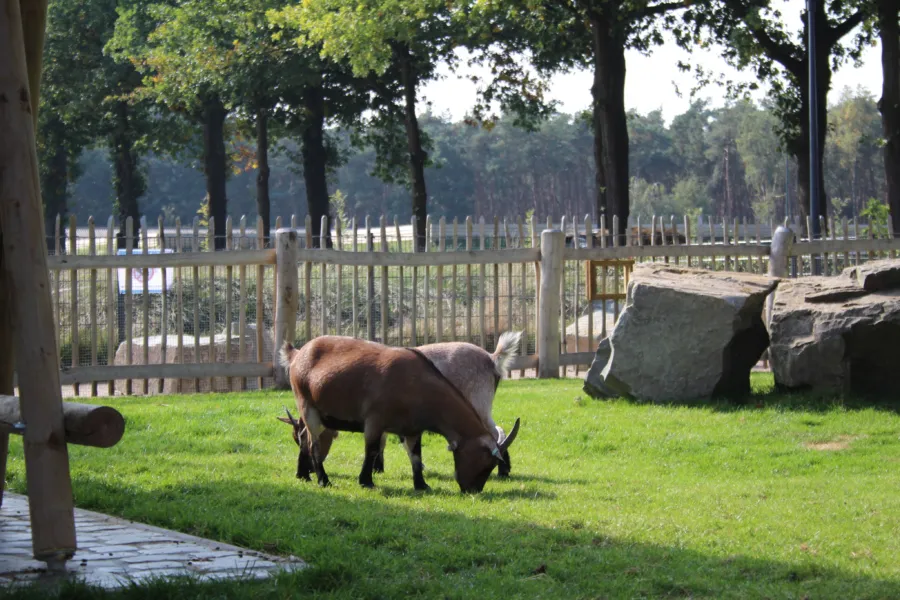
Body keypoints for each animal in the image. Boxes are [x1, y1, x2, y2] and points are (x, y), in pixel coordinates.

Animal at [280, 338, 520, 492]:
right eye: (484, 461)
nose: (473, 490)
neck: (417, 383)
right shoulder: (375, 421)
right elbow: (372, 449)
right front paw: (367, 480)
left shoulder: (412, 428)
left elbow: (415, 455)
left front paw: (421, 484)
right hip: (308, 406)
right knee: (311, 442)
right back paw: (322, 480)